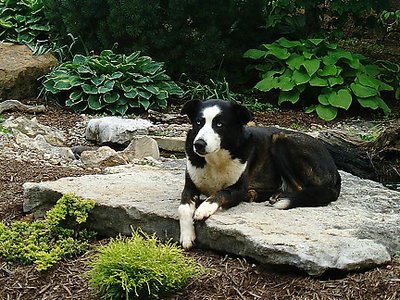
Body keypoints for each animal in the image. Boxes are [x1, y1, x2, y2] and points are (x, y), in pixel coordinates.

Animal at [178, 99, 340, 250]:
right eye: (198, 122)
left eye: (219, 124)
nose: (199, 144)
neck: (215, 160)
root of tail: (335, 170)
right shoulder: (189, 187)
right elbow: (183, 208)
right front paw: (187, 236)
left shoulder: (238, 189)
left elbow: (221, 193)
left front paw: (204, 208)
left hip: (281, 139)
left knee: (302, 189)